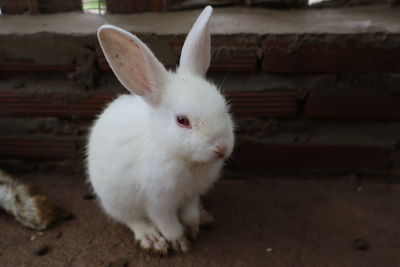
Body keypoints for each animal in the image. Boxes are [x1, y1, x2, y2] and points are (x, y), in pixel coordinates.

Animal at [86, 4, 233, 255]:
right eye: (182, 120)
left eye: (223, 105)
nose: (222, 147)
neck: (186, 160)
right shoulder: (157, 201)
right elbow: (166, 221)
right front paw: (179, 241)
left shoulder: (192, 194)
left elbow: (190, 211)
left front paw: (193, 226)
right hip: (116, 200)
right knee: (131, 220)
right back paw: (151, 238)